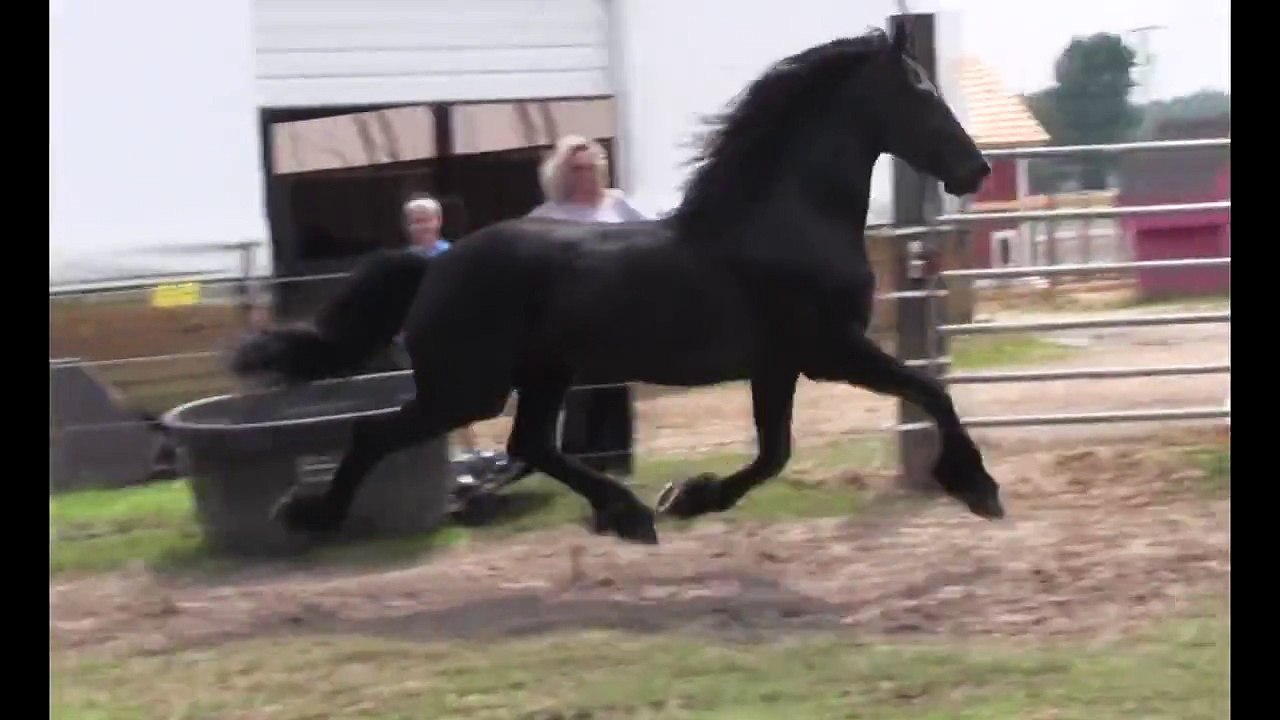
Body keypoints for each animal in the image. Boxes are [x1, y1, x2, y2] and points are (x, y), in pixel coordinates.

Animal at [230, 25, 1004, 546]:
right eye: (922, 93)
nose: (977, 169)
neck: (785, 222)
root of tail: (437, 263)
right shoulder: (831, 351)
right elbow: (931, 391)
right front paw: (978, 489)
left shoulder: (778, 366)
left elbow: (774, 452)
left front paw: (689, 497)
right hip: (467, 387)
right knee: (379, 433)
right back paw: (309, 514)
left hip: (544, 373)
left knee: (529, 446)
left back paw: (627, 513)